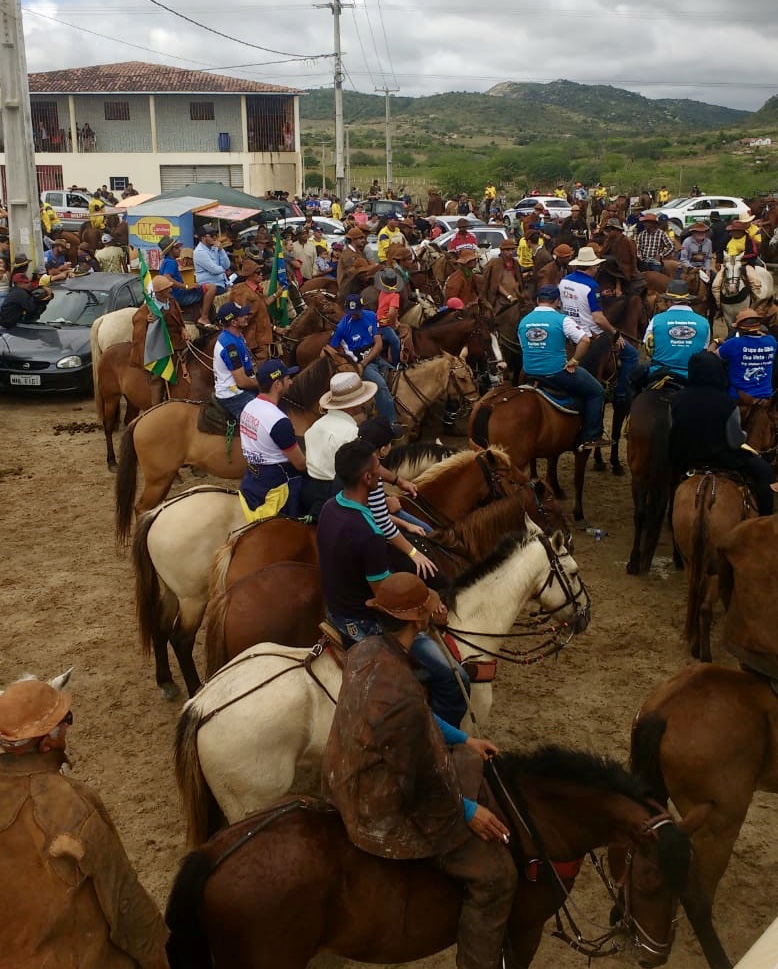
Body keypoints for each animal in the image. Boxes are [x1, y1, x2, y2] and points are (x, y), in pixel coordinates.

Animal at [176, 520, 588, 844]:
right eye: (573, 571)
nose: (586, 614)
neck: (466, 634)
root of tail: (204, 705)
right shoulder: (463, 725)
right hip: (251, 802)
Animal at [668, 470, 756, 664]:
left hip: (690, 562)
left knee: (696, 598)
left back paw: (694, 643)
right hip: (716, 568)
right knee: (705, 608)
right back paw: (705, 654)